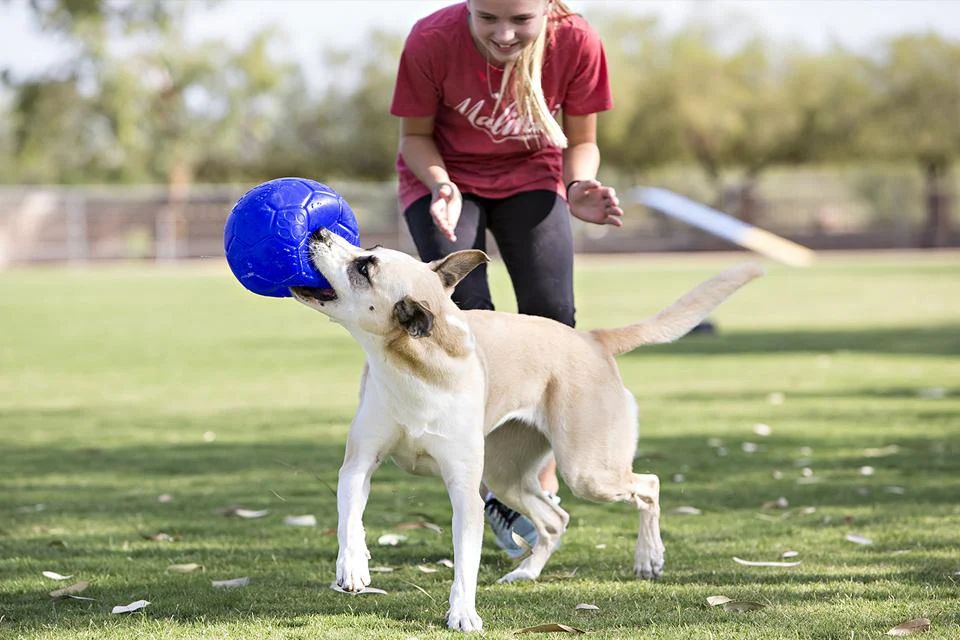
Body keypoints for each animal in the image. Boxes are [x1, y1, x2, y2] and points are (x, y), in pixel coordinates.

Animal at [292, 229, 764, 632]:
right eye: (367, 251)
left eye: (365, 266)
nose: (318, 232)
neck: (414, 365)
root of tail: (591, 340)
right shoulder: (359, 464)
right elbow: (350, 519)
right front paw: (354, 567)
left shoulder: (465, 493)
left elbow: (465, 564)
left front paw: (463, 614)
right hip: (506, 475)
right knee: (556, 519)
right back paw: (526, 572)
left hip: (587, 469)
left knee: (648, 484)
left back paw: (649, 558)